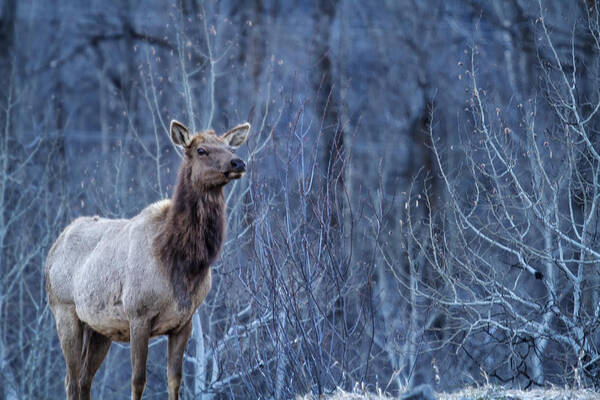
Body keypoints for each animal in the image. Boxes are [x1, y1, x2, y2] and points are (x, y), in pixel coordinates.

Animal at [45, 119, 250, 400]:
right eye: (201, 150)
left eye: (229, 147)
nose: (238, 163)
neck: (180, 262)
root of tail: (53, 250)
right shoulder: (138, 313)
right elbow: (138, 381)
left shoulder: (183, 321)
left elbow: (174, 379)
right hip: (63, 310)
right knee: (71, 380)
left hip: (99, 327)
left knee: (84, 379)